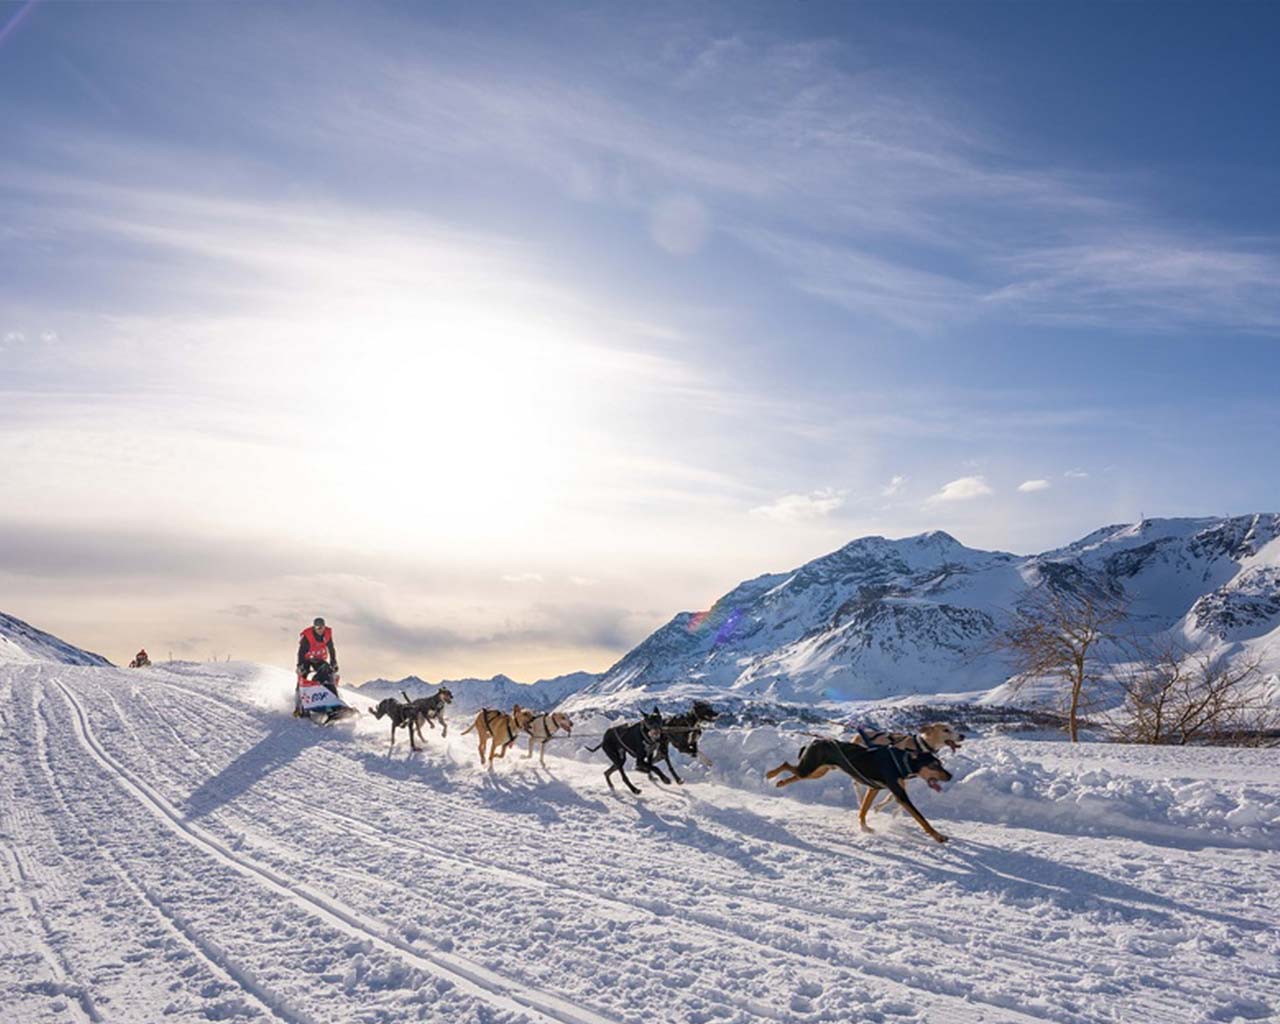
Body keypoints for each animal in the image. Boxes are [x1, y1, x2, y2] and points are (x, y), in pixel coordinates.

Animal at [762, 742, 957, 844]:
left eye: (941, 763)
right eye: (934, 765)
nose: (950, 775)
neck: (902, 762)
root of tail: (814, 741)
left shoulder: (874, 788)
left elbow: (864, 809)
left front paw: (864, 827)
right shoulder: (900, 795)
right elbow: (922, 819)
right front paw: (938, 836)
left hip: (817, 772)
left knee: (793, 774)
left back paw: (780, 782)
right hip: (810, 769)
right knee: (787, 764)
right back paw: (771, 774)